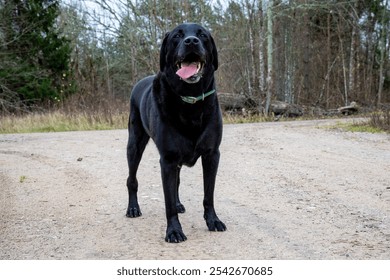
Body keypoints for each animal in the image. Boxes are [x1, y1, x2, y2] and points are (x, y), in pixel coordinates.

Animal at [126, 23, 227, 243]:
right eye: (177, 36)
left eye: (202, 35)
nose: (191, 41)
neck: (190, 99)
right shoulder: (168, 159)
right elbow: (168, 202)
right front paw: (173, 231)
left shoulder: (212, 154)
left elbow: (209, 194)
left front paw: (213, 220)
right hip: (134, 144)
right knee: (132, 179)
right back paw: (133, 208)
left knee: (177, 184)